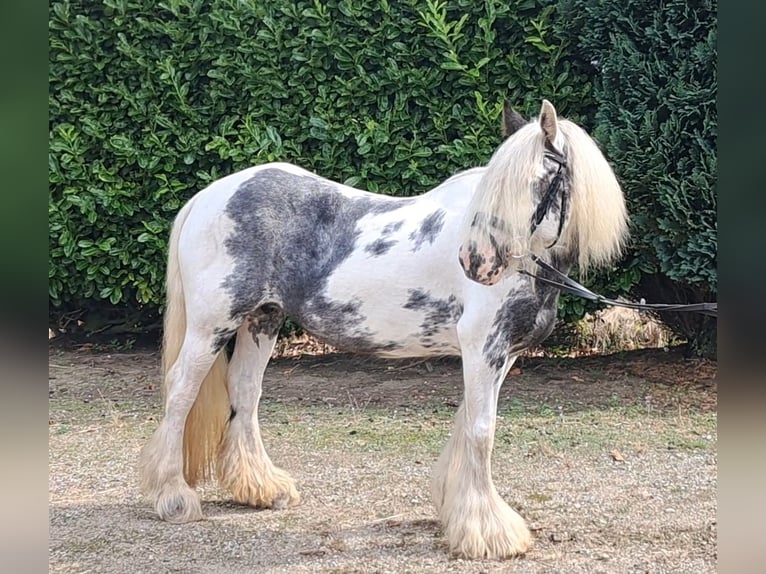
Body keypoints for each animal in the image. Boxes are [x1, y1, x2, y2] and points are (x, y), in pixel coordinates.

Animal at [140, 101, 632, 560]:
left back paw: (262, 489)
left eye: (539, 182)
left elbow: (466, 423)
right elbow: (481, 430)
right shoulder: (483, 346)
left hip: (263, 320)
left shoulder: (500, 354)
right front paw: (488, 533)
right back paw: (173, 498)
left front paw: (455, 513)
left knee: (245, 391)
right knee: (181, 391)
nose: (476, 262)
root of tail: (210, 196)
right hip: (213, 324)